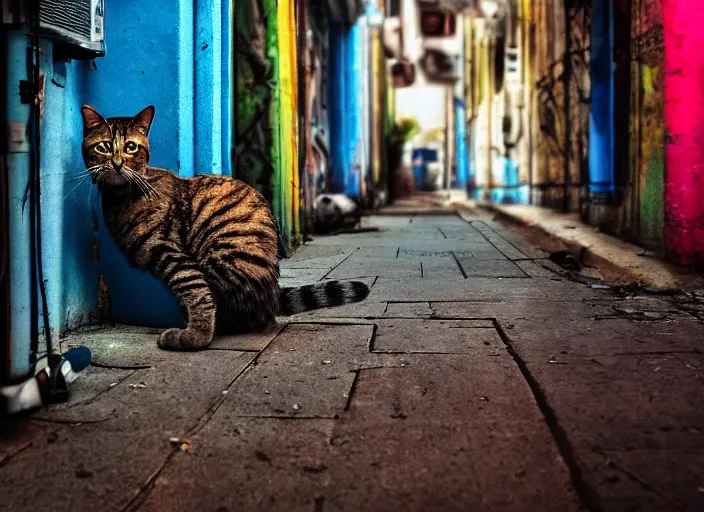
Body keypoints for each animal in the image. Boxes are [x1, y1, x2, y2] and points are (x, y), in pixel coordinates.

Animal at [80, 105, 372, 350]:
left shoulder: (174, 256)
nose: (117, 163)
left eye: (130, 147)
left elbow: (197, 292)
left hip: (219, 255)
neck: (121, 197)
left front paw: (194, 337)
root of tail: (271, 296)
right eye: (104, 147)